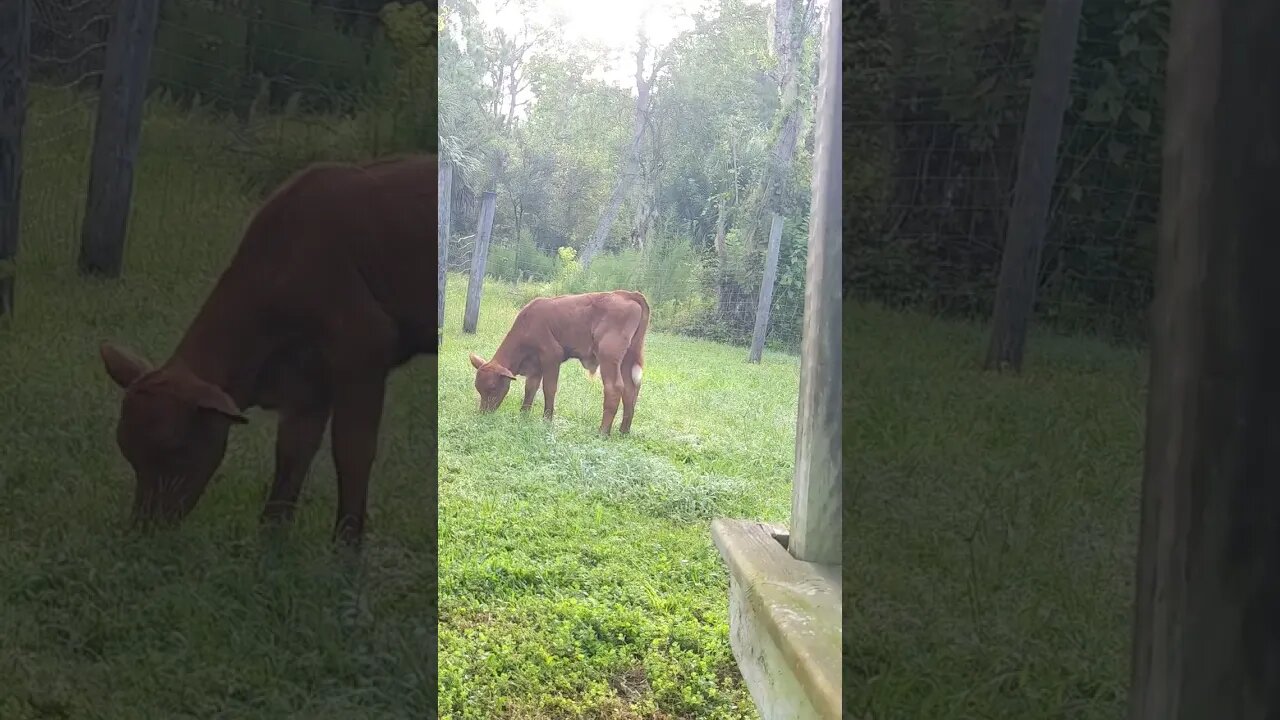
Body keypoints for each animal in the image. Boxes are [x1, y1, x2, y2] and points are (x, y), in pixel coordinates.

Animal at [99, 154, 440, 540]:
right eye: (128, 452)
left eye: (176, 449)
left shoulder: (363, 349)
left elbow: (352, 450)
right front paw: (270, 535)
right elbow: (293, 451)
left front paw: (346, 544)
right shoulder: (308, 378)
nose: (145, 527)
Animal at [471, 288, 650, 435]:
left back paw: (603, 432)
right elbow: (530, 388)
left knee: (614, 387)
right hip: (627, 359)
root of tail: (627, 294)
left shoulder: (551, 356)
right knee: (630, 389)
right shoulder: (536, 365)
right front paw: (523, 414)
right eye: (478, 388)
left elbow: (549, 388)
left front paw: (547, 420)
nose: (483, 414)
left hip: (609, 356)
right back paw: (624, 430)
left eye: (492, 387)